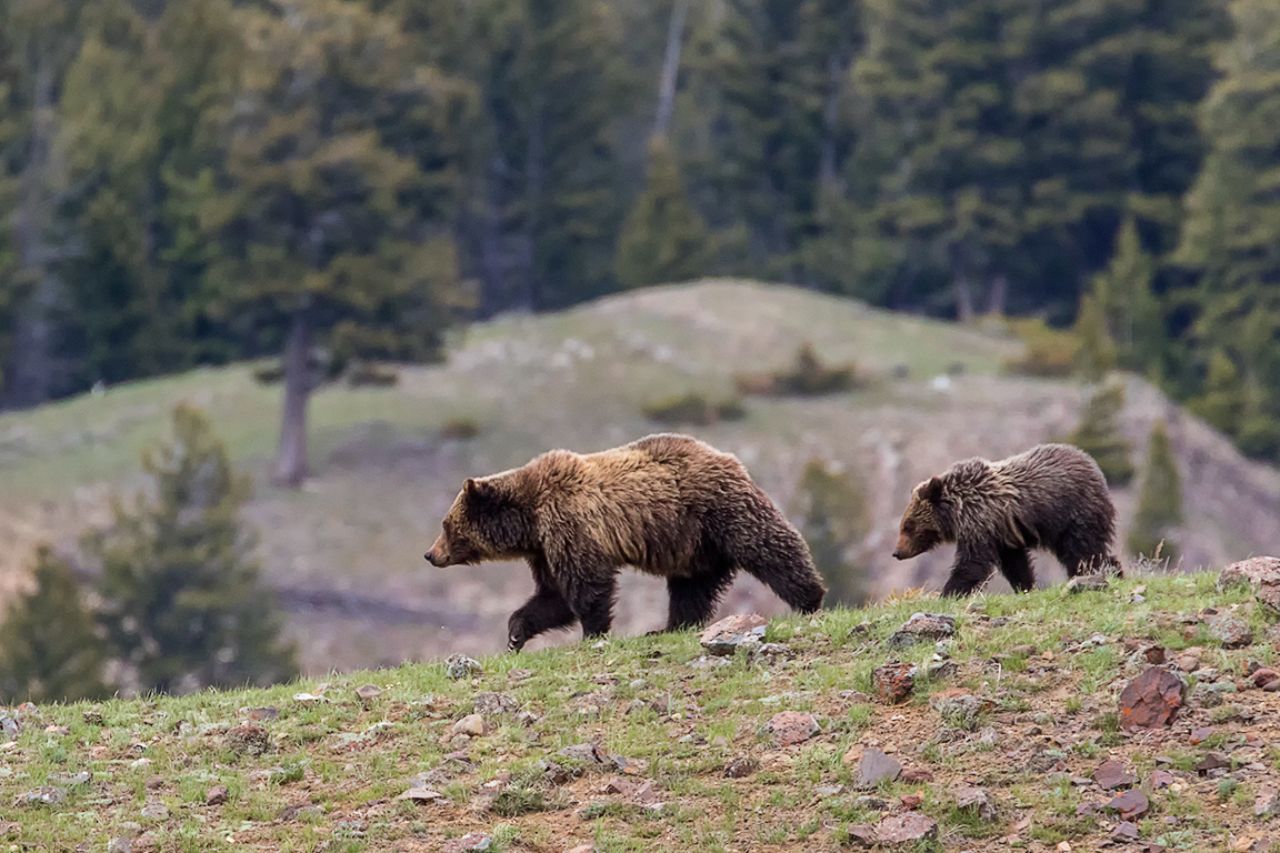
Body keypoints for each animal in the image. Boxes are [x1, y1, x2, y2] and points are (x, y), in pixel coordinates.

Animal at [423, 433, 827, 650]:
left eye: (446, 524)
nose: (430, 554)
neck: (530, 519)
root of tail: (725, 456)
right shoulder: (544, 549)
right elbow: (553, 597)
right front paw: (515, 634)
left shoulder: (570, 527)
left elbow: (586, 586)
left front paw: (592, 632)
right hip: (693, 545)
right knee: (691, 588)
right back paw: (670, 626)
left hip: (718, 510)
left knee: (767, 546)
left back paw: (811, 596)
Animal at [892, 443, 1121, 597]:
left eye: (908, 526)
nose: (897, 552)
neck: (957, 512)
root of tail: (1093, 465)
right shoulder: (1003, 534)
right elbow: (1015, 564)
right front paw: (1026, 586)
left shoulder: (980, 523)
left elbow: (972, 563)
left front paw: (949, 593)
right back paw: (1114, 570)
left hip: (1075, 514)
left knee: (1082, 552)